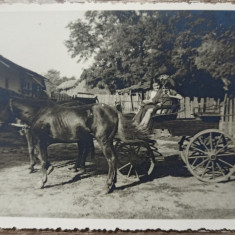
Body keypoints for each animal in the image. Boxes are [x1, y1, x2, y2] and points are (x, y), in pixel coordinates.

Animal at [0, 92, 148, 194]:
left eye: (2, 105)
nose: (0, 124)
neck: (39, 113)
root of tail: (114, 111)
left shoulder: (40, 140)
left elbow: (41, 159)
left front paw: (42, 181)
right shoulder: (42, 142)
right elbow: (40, 156)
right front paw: (49, 168)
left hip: (103, 140)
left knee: (111, 159)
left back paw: (106, 187)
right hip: (108, 141)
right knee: (114, 158)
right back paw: (113, 184)